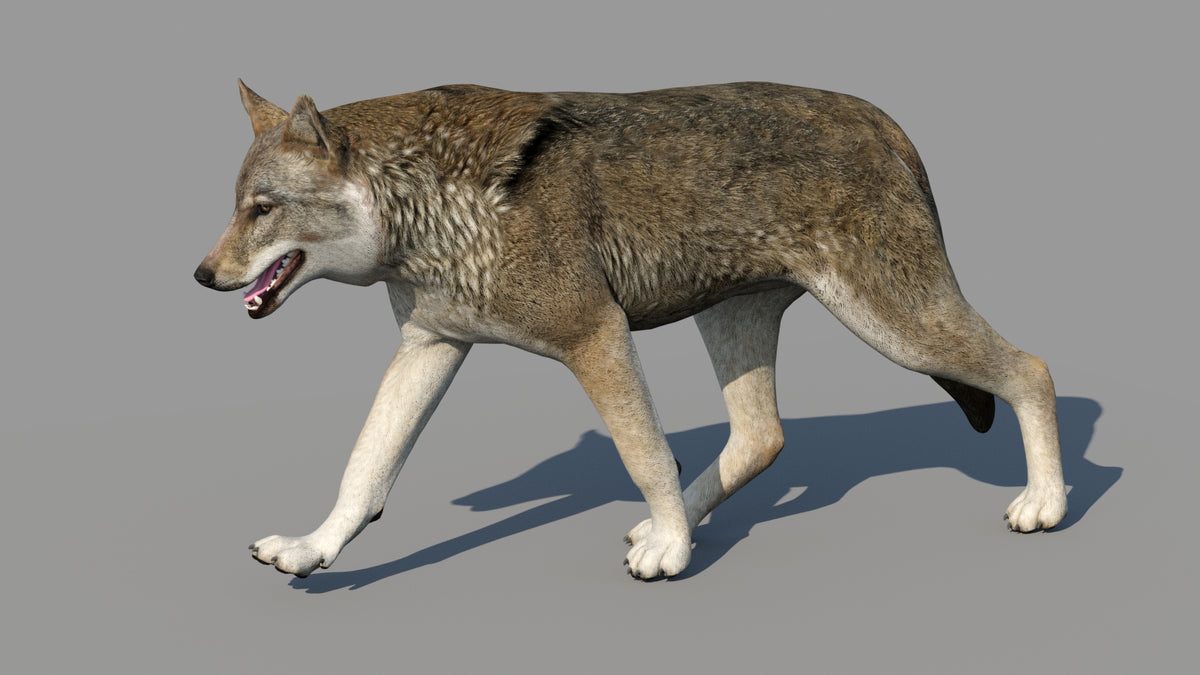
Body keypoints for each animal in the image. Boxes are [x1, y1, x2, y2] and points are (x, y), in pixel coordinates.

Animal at [194, 80, 1066, 580]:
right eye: (237, 206)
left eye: (262, 209)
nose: (202, 276)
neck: (429, 209)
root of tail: (882, 119)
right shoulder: (430, 347)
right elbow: (364, 471)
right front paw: (312, 549)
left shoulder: (598, 335)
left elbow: (643, 453)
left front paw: (673, 554)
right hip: (737, 322)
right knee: (763, 438)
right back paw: (674, 522)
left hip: (896, 325)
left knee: (1032, 367)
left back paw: (1046, 504)